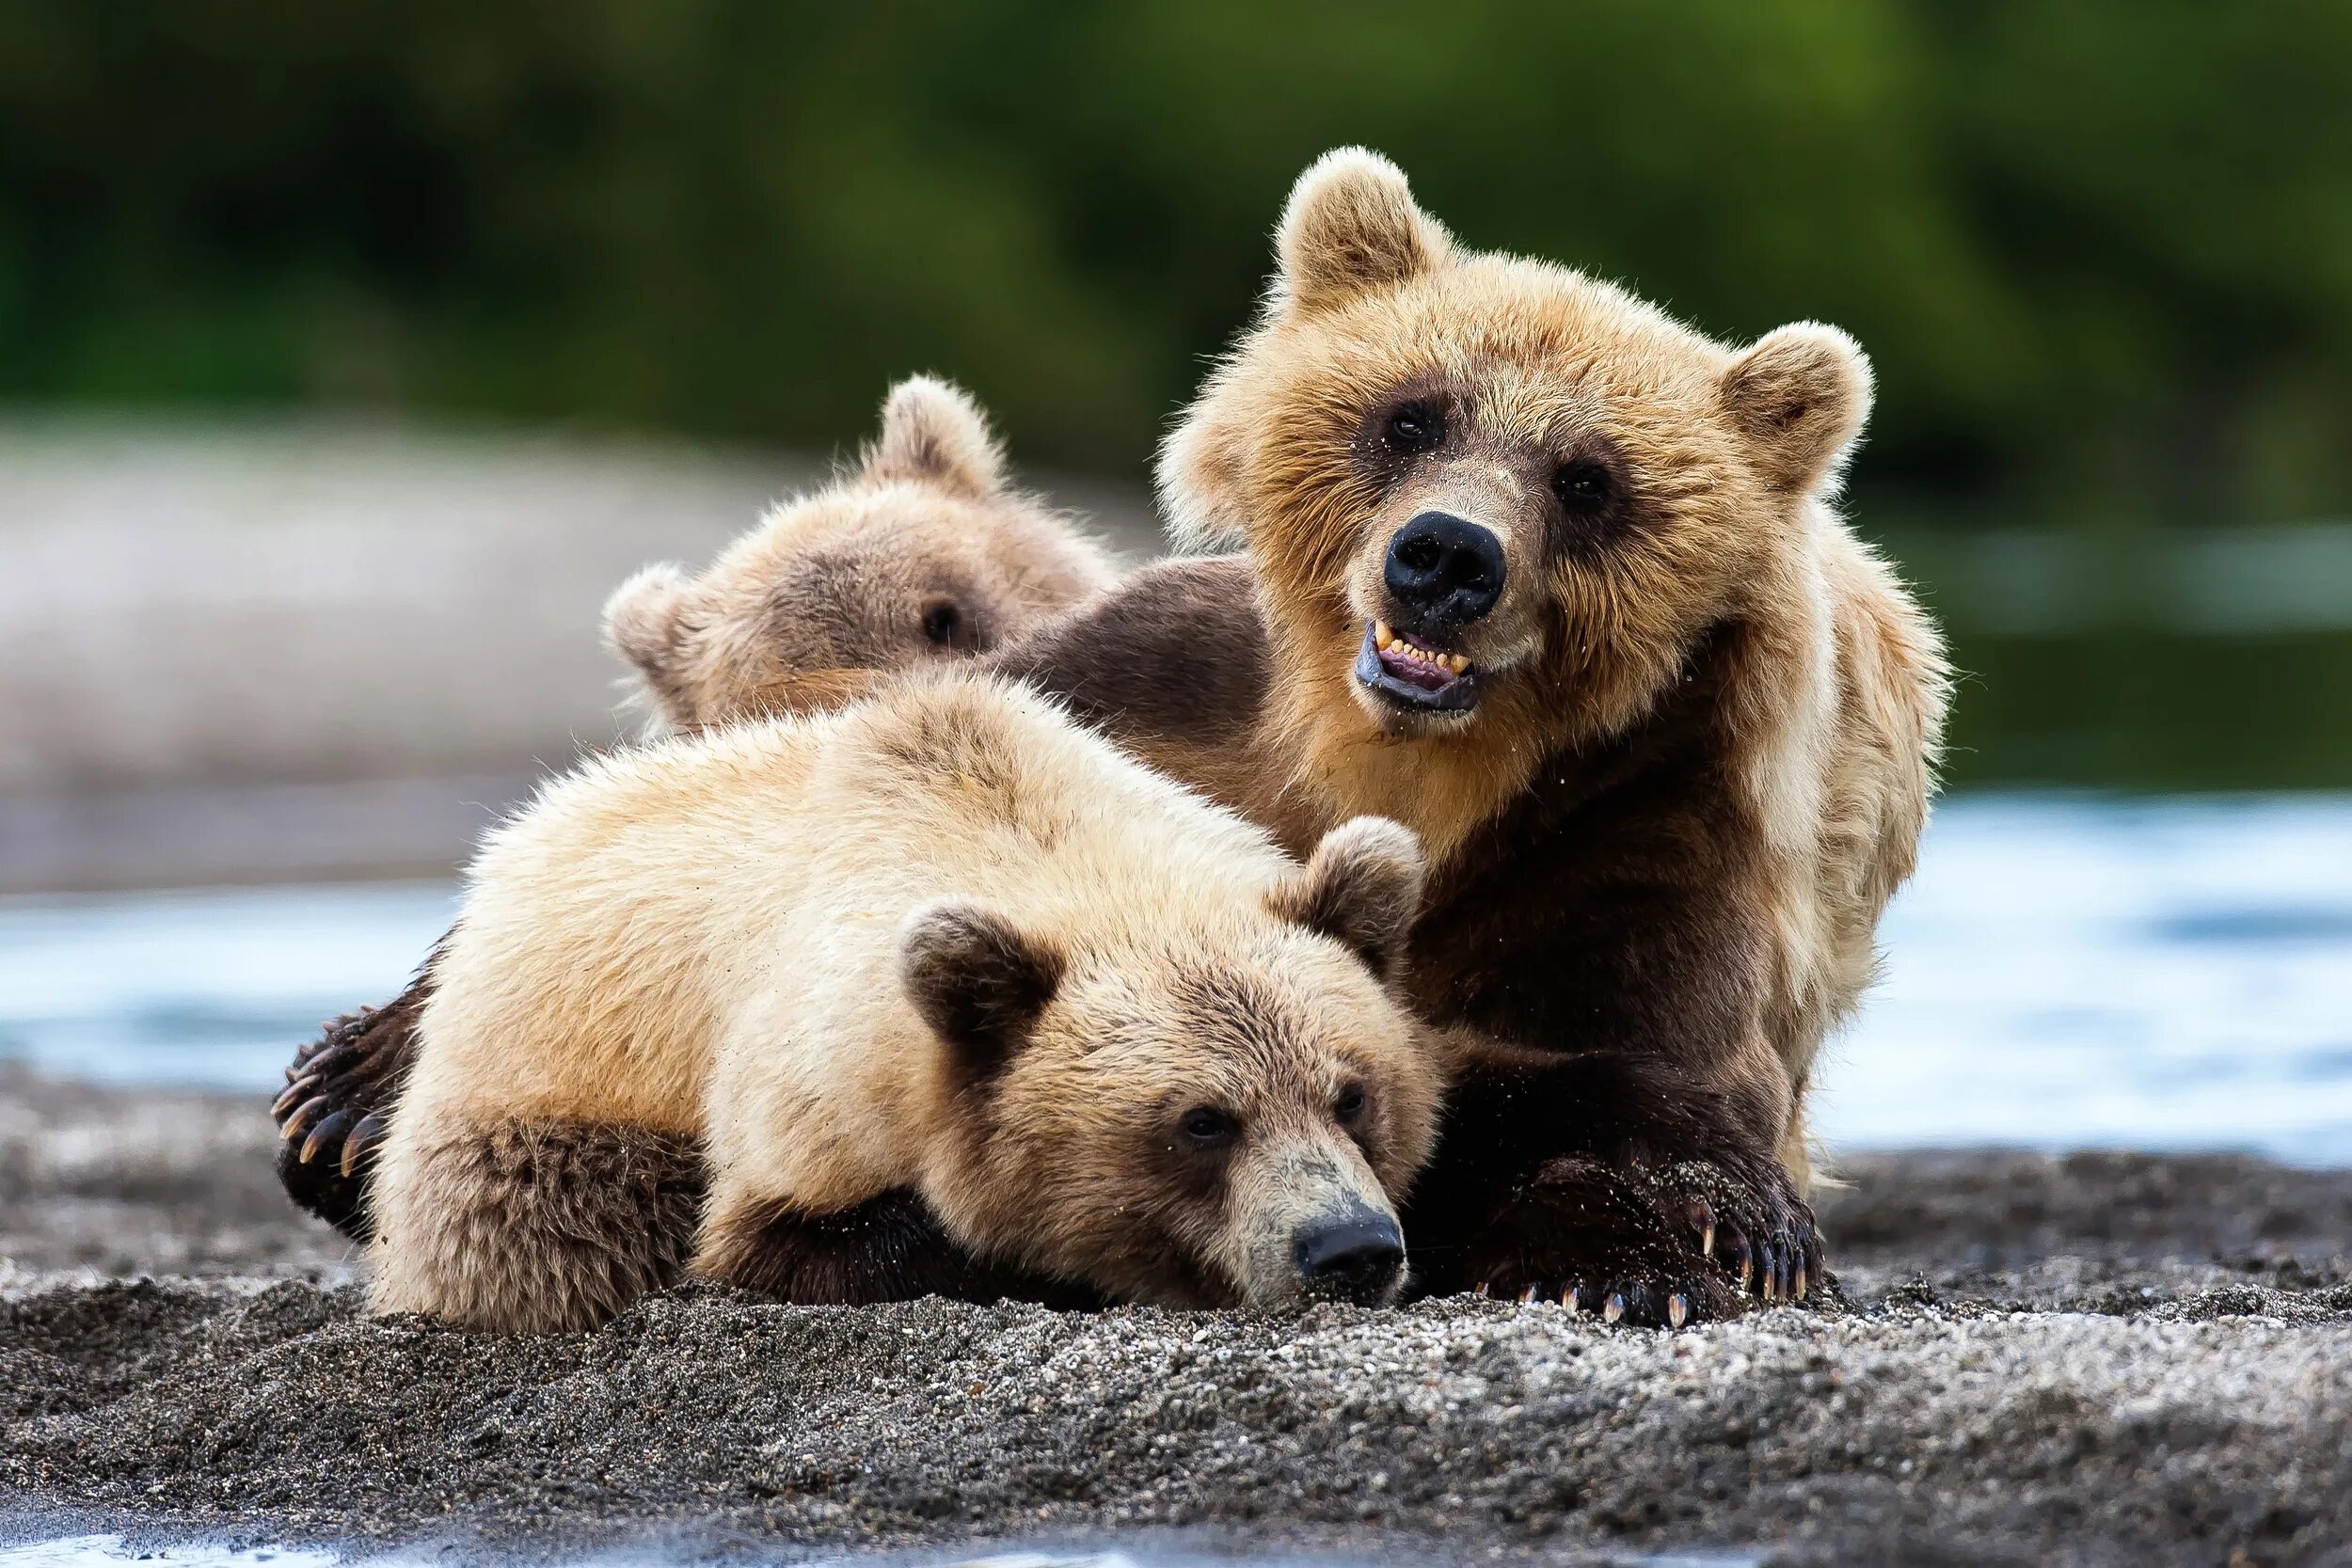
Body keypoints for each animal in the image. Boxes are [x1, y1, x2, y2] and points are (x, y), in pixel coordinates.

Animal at [372, 667, 1430, 1335]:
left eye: (1351, 1092)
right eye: (1202, 1119)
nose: (1350, 1248)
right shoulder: (803, 1088)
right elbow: (773, 1242)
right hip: (521, 1109)